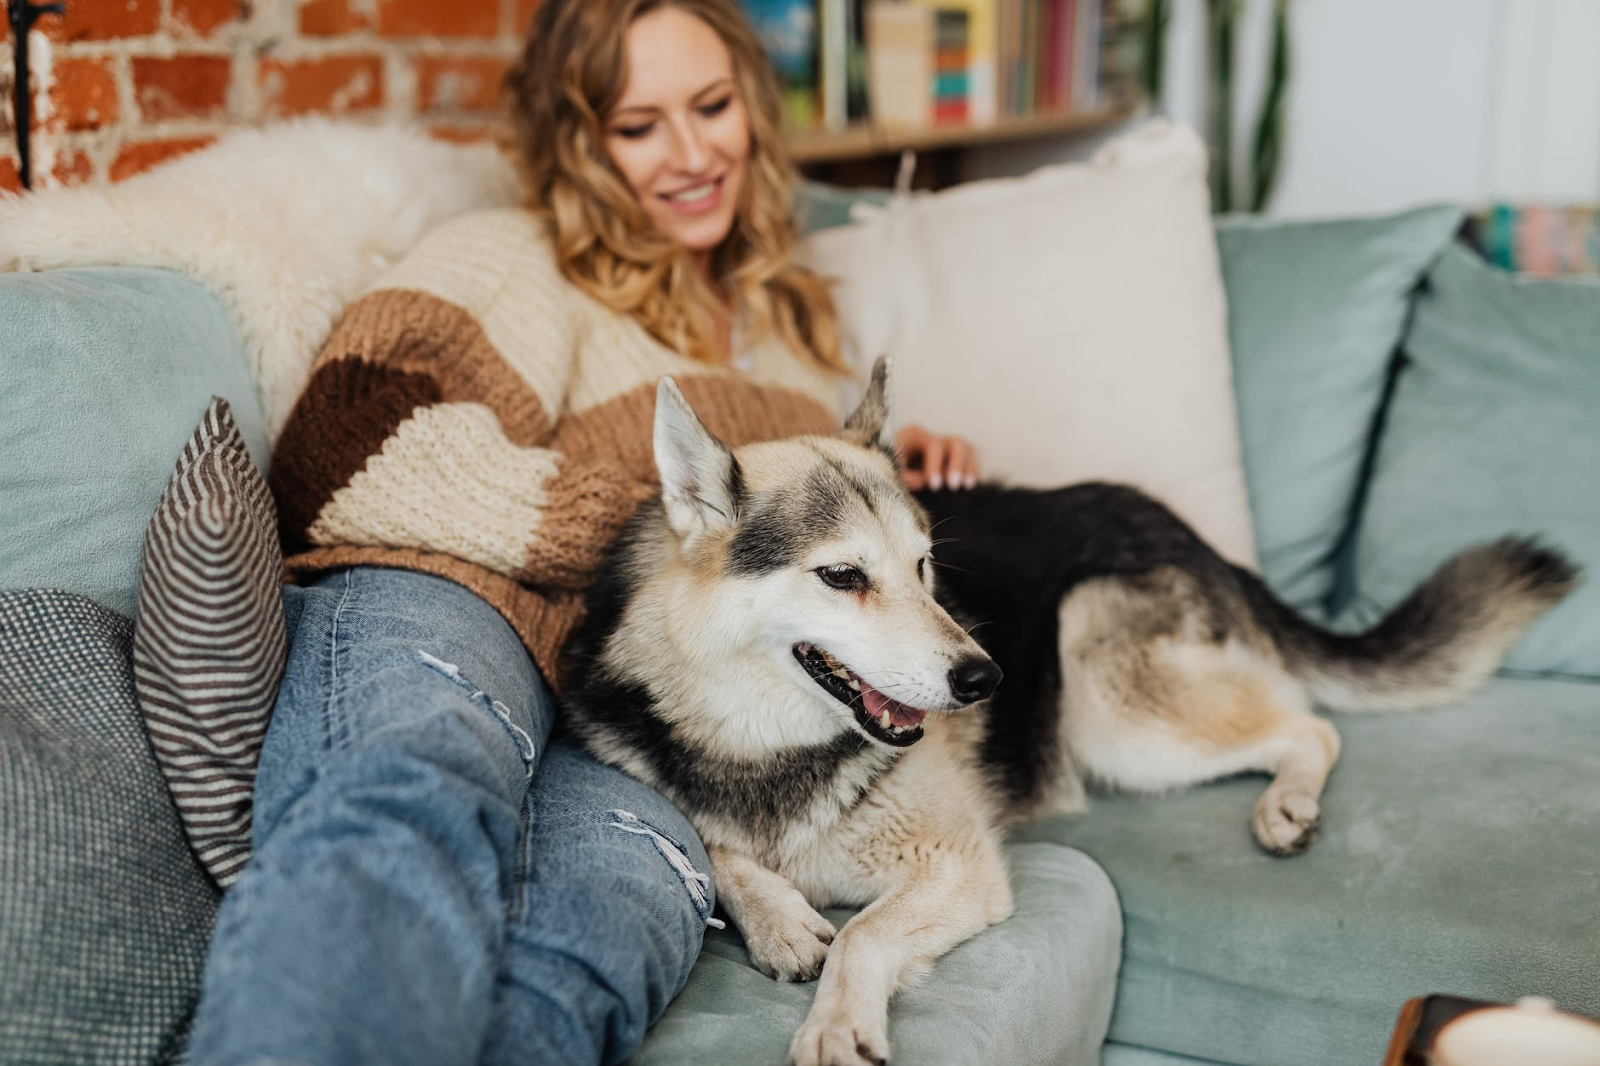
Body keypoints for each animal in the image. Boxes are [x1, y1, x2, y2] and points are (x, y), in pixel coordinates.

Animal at [560, 358, 1574, 1062]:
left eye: (924, 568)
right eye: (842, 576)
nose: (986, 681)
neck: (763, 746)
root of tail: (1197, 536)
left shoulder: (957, 868)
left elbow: (864, 936)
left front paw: (836, 1025)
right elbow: (716, 847)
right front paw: (776, 918)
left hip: (1110, 700)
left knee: (1307, 724)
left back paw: (1286, 802)